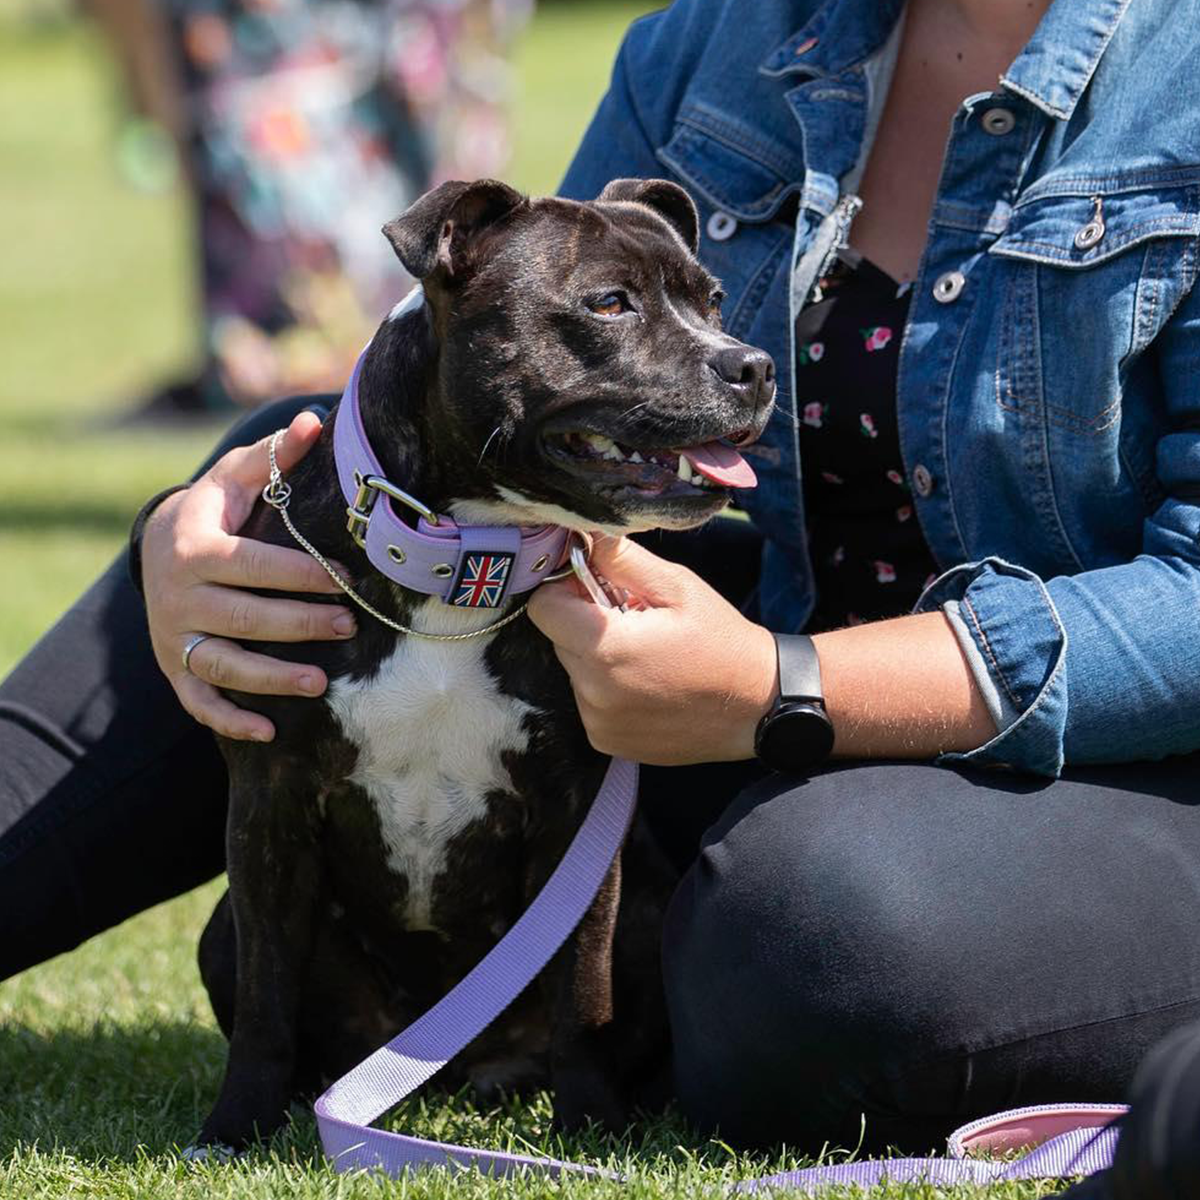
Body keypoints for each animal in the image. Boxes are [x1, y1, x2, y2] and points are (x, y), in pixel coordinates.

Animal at [194, 174, 777, 1147]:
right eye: (608, 304)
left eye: (713, 300)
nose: (754, 365)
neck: (462, 566)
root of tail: (445, 1058)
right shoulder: (268, 808)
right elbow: (267, 1002)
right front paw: (235, 1126)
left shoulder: (576, 819)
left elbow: (583, 991)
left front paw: (588, 1125)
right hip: (226, 937)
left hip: (646, 911)